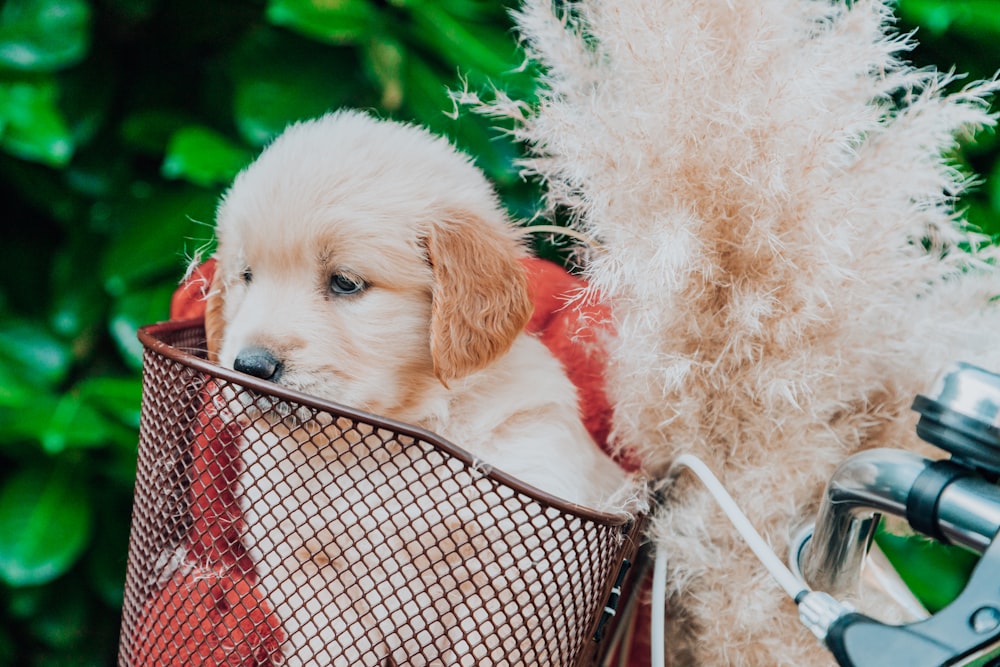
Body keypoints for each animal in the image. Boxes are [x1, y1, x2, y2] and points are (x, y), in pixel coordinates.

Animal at [205, 112, 632, 664]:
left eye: (345, 282)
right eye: (247, 276)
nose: (251, 366)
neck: (382, 442)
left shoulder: (518, 579)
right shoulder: (301, 562)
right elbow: (326, 645)